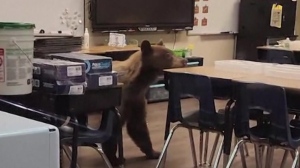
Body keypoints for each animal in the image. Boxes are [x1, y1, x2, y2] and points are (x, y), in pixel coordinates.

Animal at [103, 39, 188, 167]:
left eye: (172, 52)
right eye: (168, 55)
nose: (185, 60)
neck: (137, 82)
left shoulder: (136, 99)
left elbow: (138, 126)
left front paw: (154, 153)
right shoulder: (121, 100)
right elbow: (112, 127)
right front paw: (115, 159)